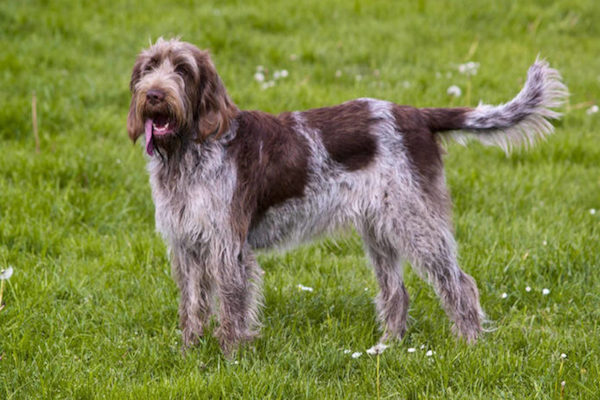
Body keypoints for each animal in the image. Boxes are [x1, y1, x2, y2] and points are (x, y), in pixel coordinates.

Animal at [125, 39, 568, 354]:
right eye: (148, 68)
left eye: (183, 70)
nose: (154, 95)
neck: (189, 152)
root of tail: (417, 115)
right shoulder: (186, 245)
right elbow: (192, 305)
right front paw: (189, 352)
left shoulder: (226, 247)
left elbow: (232, 308)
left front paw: (230, 358)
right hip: (381, 230)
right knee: (397, 293)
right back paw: (387, 347)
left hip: (416, 224)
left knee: (460, 284)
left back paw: (470, 345)